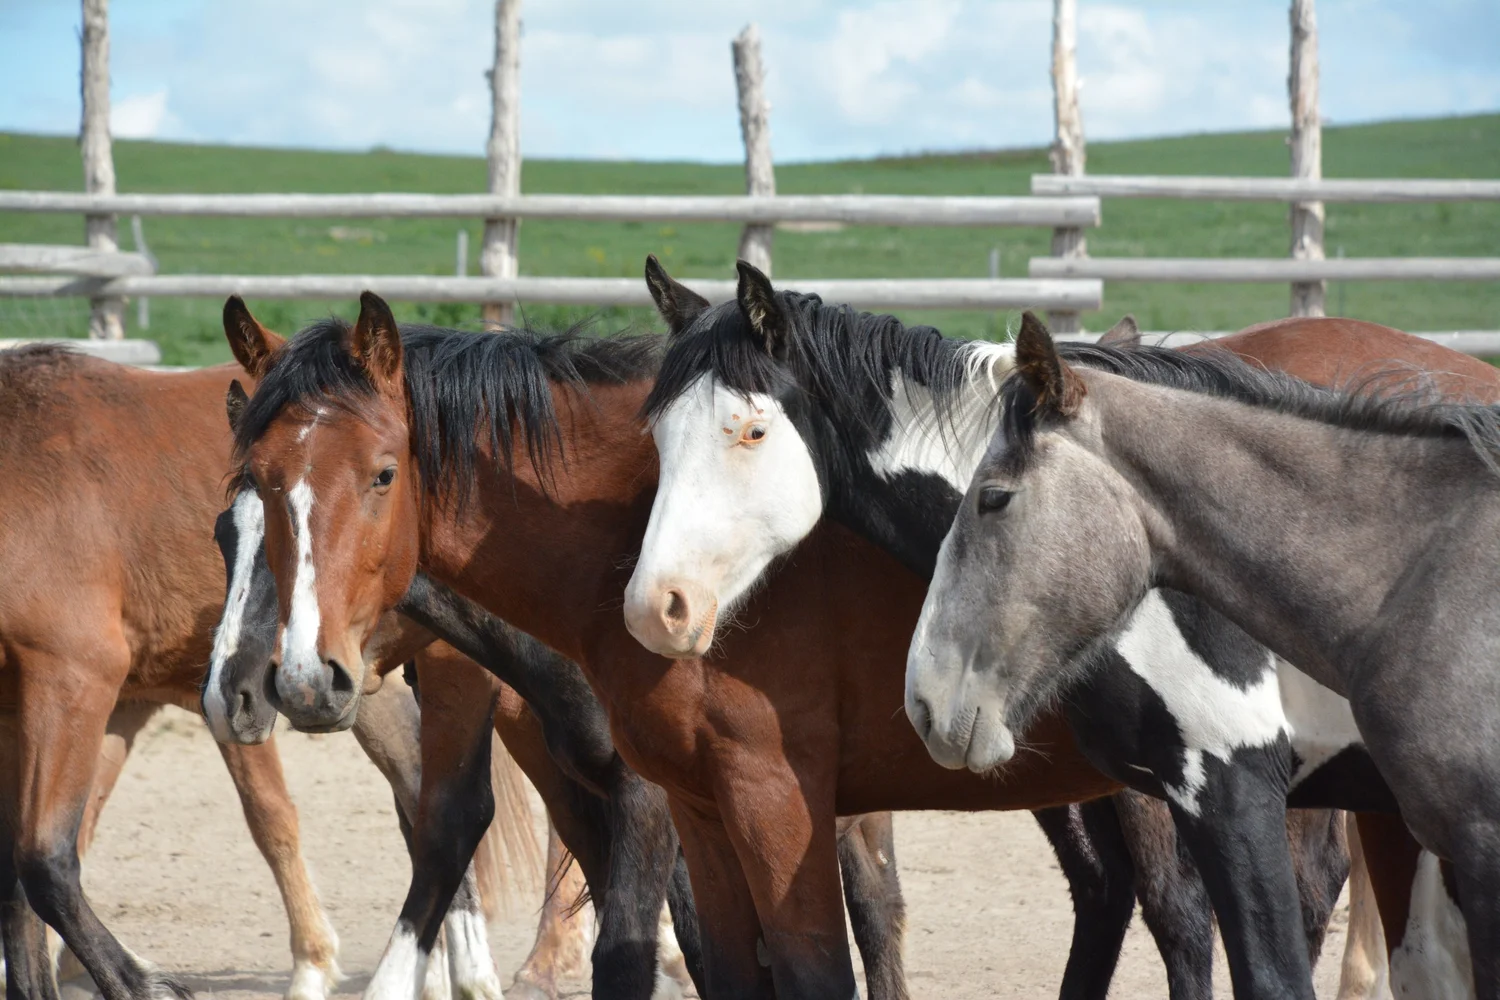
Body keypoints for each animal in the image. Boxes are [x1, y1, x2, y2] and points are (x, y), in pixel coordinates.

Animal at [0, 341, 570, 1000]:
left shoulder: (74, 677)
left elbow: (44, 859)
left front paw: (151, 982)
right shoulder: (52, 705)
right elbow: (23, 869)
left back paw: (536, 963)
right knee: (430, 798)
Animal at [224, 291, 1233, 1000]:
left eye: (382, 474)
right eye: (250, 492)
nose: (286, 680)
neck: (626, 535)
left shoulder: (732, 800)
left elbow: (657, 958)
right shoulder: (660, 795)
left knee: (1180, 917)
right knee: (1104, 897)